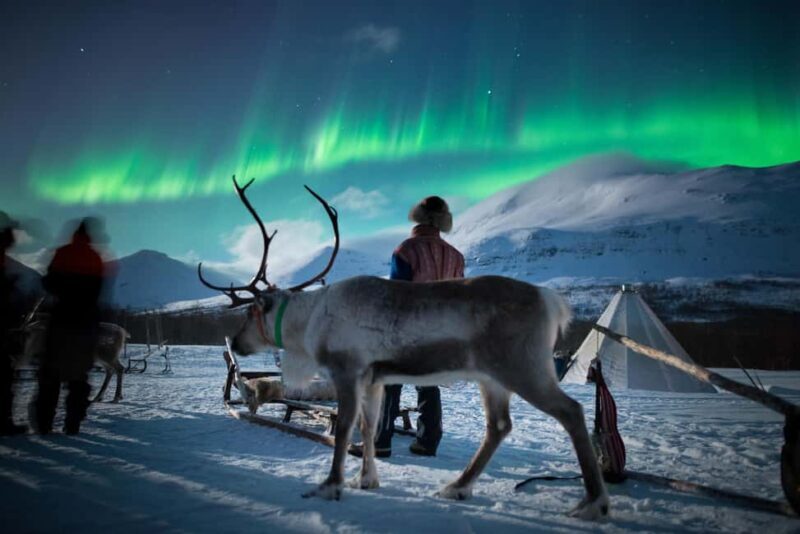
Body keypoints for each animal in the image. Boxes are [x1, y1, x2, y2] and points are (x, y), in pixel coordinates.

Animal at [199, 176, 609, 520]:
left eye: (250, 312)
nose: (237, 342)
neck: (310, 321)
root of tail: (551, 301)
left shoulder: (347, 370)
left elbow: (344, 428)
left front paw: (330, 486)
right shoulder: (375, 378)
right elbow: (369, 426)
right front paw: (367, 480)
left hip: (523, 368)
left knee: (571, 412)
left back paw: (593, 502)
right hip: (491, 378)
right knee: (499, 426)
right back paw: (457, 487)